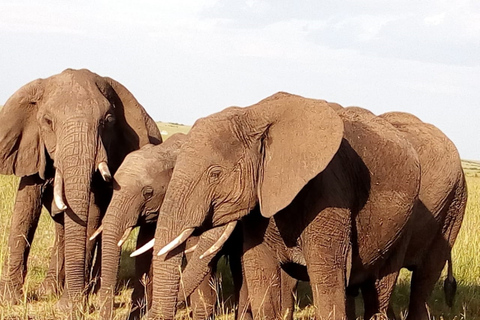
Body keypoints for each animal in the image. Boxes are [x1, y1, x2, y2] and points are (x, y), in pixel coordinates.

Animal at [0, 69, 162, 312]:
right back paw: (50, 291)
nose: (70, 305)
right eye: (48, 121)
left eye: (108, 121)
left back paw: (92, 288)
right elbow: (25, 208)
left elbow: (92, 214)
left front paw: (71, 307)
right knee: (62, 226)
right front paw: (9, 300)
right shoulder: (32, 146)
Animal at [136, 91, 424, 318]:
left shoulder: (330, 193)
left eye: (215, 174)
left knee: (379, 292)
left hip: (401, 229)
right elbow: (260, 274)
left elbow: (328, 280)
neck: (254, 114)